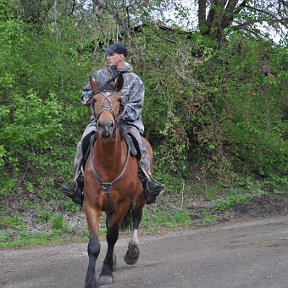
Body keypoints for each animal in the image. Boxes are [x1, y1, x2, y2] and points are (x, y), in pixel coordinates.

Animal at [83, 75, 151, 288]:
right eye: (95, 100)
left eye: (119, 100)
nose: (106, 126)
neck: (108, 163)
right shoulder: (92, 203)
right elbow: (94, 244)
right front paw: (90, 279)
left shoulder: (123, 203)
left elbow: (112, 236)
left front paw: (105, 273)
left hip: (139, 199)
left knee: (136, 219)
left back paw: (132, 252)